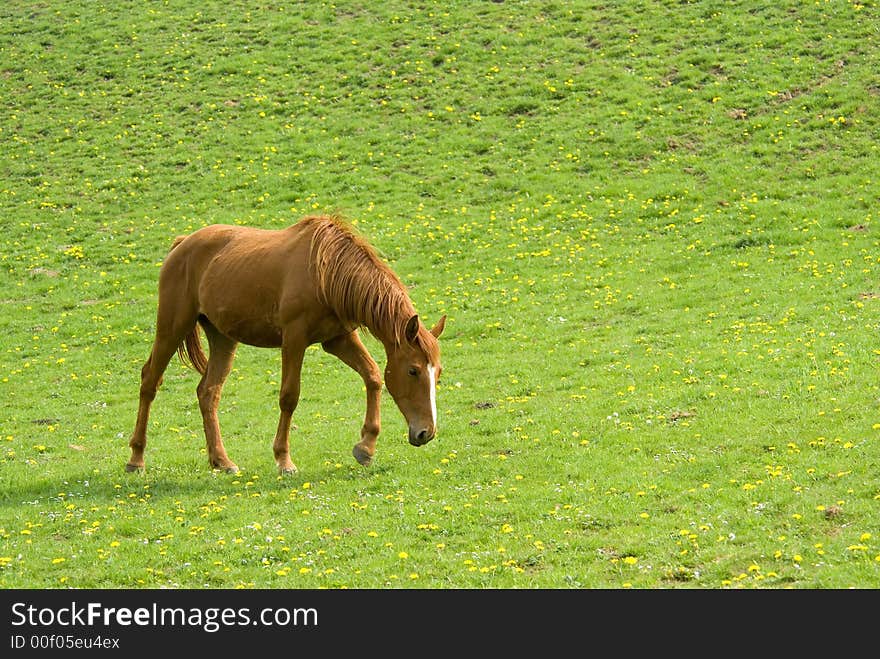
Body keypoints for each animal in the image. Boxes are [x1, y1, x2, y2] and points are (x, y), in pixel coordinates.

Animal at [124, 217, 446, 474]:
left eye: (438, 373)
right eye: (414, 371)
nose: (426, 433)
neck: (326, 271)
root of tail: (181, 245)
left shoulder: (338, 339)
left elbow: (373, 376)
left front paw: (365, 447)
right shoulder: (294, 339)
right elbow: (289, 397)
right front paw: (283, 460)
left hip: (222, 338)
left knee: (208, 392)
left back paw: (222, 461)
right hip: (172, 327)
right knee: (149, 382)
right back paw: (136, 459)